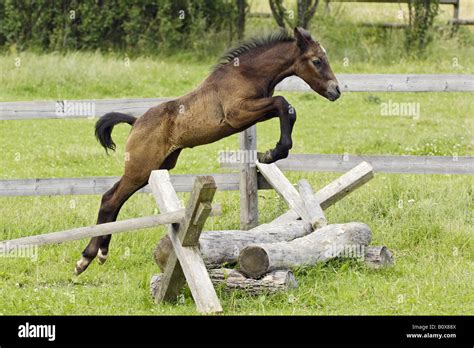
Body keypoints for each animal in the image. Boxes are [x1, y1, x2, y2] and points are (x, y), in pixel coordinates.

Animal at [75, 27, 340, 274]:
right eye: (317, 61)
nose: (336, 91)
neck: (246, 73)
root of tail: (136, 121)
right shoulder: (238, 114)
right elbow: (283, 103)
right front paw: (272, 153)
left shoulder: (255, 112)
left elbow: (287, 109)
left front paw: (272, 152)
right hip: (141, 168)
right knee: (110, 200)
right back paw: (86, 258)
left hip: (154, 169)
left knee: (113, 198)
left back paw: (100, 253)